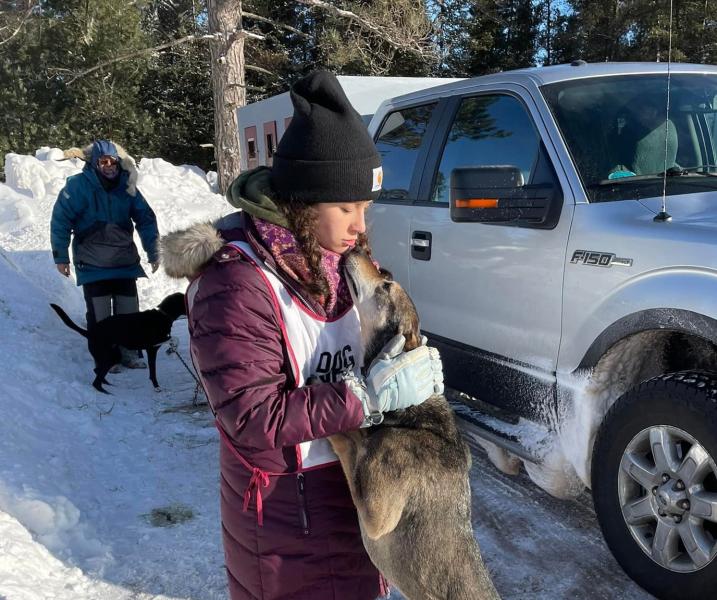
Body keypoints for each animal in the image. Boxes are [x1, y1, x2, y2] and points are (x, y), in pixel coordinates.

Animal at [49, 292, 185, 394]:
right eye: (184, 299)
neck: (163, 315)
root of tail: (90, 332)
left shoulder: (153, 348)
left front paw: (171, 350)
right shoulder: (152, 346)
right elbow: (174, 339)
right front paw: (157, 387)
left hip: (113, 356)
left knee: (96, 371)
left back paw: (108, 385)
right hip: (109, 358)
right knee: (96, 382)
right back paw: (108, 393)